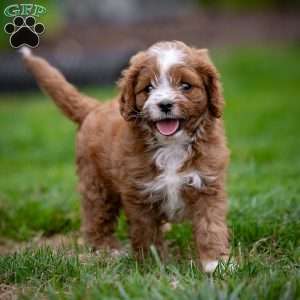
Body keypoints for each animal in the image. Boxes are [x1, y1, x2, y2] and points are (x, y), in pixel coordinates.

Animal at [21, 41, 230, 274]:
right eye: (148, 88)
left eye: (186, 86)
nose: (165, 104)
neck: (171, 145)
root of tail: (95, 107)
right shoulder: (139, 192)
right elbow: (146, 232)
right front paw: (152, 265)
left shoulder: (207, 184)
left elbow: (210, 226)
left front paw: (216, 264)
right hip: (96, 183)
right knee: (97, 218)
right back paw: (105, 249)